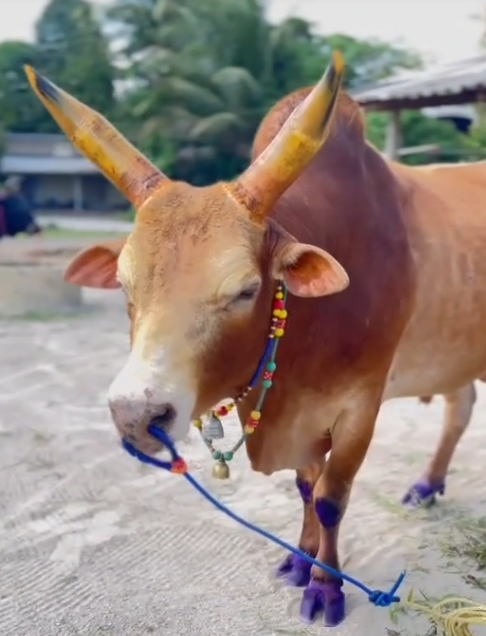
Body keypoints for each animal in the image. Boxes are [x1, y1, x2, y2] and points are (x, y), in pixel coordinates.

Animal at [24, 52, 486, 627]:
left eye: (246, 290)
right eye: (125, 287)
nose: (136, 415)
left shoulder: (360, 407)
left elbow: (331, 497)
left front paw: (326, 588)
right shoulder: (306, 416)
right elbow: (307, 487)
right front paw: (300, 561)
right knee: (460, 406)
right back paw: (428, 485)